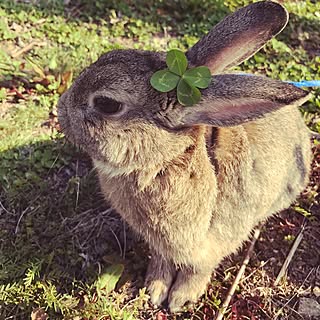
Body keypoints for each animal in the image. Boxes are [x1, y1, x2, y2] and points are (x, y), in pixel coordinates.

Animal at [57, 0, 310, 312]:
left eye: (107, 104)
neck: (164, 162)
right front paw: (155, 289)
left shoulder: (213, 242)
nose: (61, 108)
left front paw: (180, 299)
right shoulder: (161, 244)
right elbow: (162, 260)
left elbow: (197, 269)